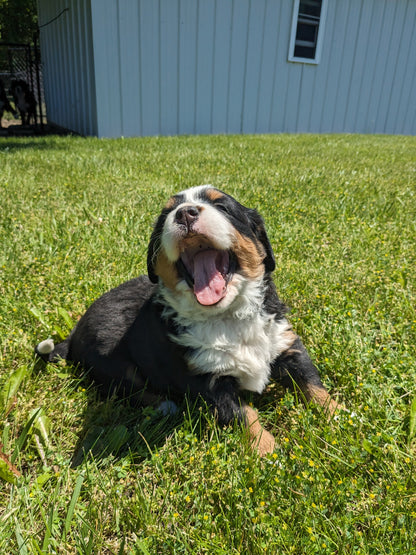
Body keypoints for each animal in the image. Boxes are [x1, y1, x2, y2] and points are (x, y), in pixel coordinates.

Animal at [37, 187, 340, 456]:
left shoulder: (284, 342)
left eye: (222, 207)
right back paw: (166, 406)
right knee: (128, 389)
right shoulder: (206, 380)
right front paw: (268, 451)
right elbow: (245, 413)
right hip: (112, 364)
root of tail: (74, 331)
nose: (184, 213)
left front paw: (339, 417)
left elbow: (313, 385)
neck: (227, 317)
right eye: (166, 215)